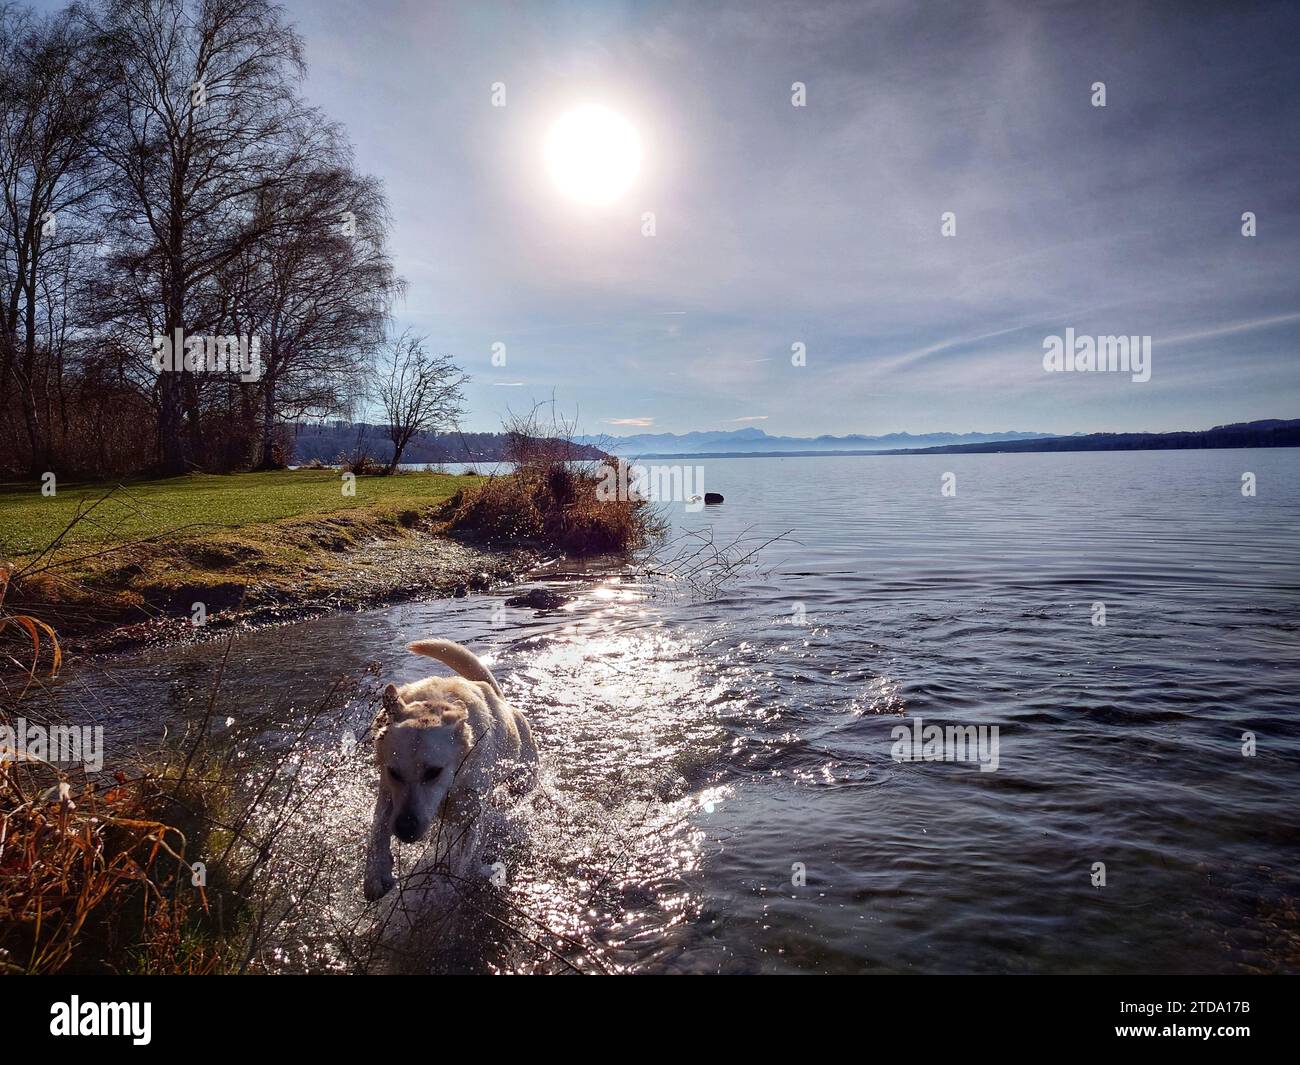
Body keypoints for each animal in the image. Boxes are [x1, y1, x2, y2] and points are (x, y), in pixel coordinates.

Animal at [364, 637, 535, 905]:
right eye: (394, 773)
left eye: (434, 772)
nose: (405, 830)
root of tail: (502, 700)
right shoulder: (387, 788)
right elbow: (378, 826)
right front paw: (376, 874)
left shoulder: (471, 810)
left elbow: (464, 860)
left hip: (523, 779)